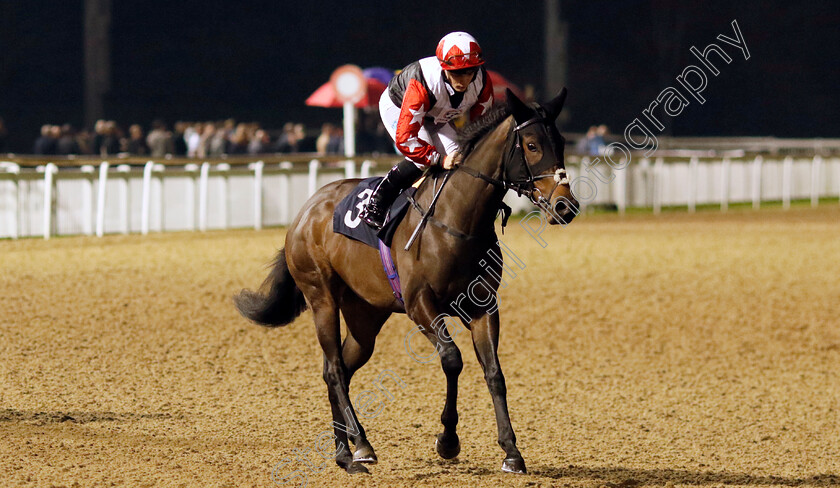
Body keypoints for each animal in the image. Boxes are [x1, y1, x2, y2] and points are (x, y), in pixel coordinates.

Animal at [235, 88, 576, 476]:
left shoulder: (483, 305)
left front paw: (511, 451)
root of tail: (304, 212)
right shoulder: (420, 304)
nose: (565, 206)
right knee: (334, 369)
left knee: (338, 369)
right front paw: (447, 441)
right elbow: (452, 359)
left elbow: (494, 372)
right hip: (321, 297)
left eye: (561, 142)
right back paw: (362, 446)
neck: (457, 221)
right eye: (532, 145)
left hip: (365, 315)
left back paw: (344, 453)